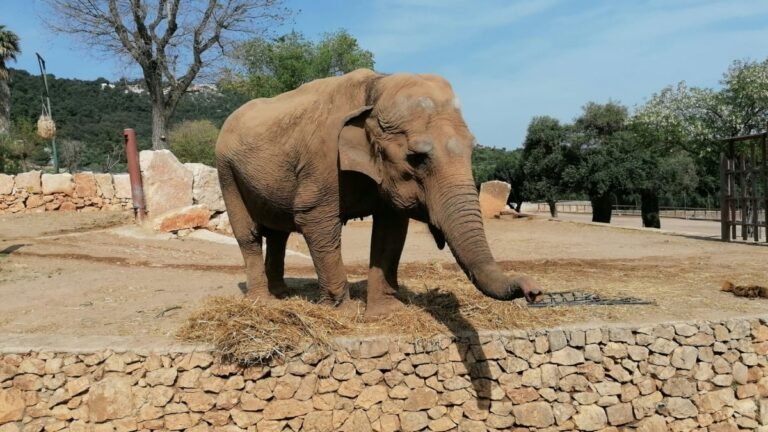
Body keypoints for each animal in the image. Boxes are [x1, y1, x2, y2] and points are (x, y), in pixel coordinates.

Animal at [215, 69, 543, 319]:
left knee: (278, 234)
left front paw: (386, 312)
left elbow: (391, 229)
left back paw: (282, 294)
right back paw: (262, 302)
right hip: (226, 171)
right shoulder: (322, 160)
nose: (534, 291)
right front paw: (344, 315)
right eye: (416, 158)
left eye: (473, 149)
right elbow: (314, 219)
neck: (377, 88)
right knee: (249, 234)